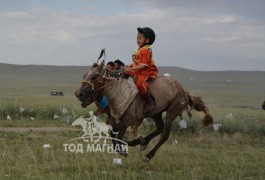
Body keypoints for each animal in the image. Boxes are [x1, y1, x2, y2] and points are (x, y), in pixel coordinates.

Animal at [75, 56, 212, 162]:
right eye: (84, 75)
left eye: (94, 76)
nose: (78, 94)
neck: (120, 91)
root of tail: (184, 91)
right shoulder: (122, 119)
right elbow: (116, 133)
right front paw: (126, 146)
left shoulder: (129, 119)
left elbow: (114, 131)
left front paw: (122, 150)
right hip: (156, 113)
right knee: (159, 128)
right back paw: (141, 142)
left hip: (172, 112)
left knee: (164, 134)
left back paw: (148, 154)